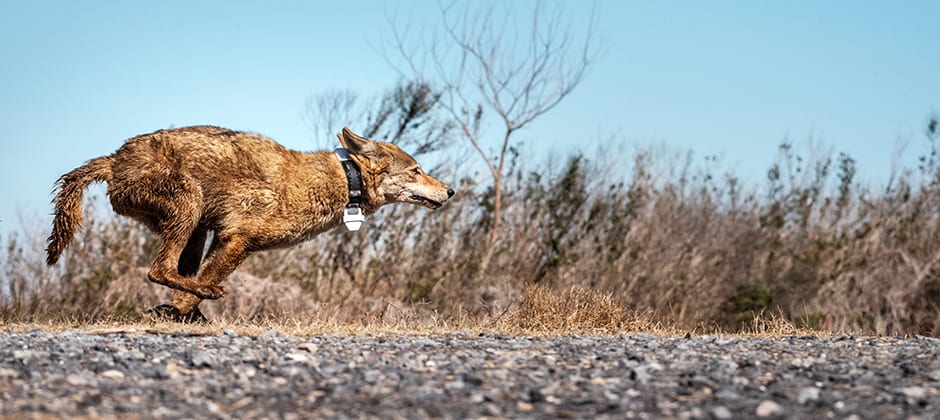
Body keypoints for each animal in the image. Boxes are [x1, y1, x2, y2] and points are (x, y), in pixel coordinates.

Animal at [45, 126, 454, 321]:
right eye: (417, 171)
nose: (450, 191)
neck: (342, 179)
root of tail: (114, 159)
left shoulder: (223, 239)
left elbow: (188, 293)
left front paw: (176, 316)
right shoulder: (239, 240)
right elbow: (196, 288)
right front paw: (178, 314)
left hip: (197, 230)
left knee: (174, 272)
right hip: (190, 205)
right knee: (159, 270)